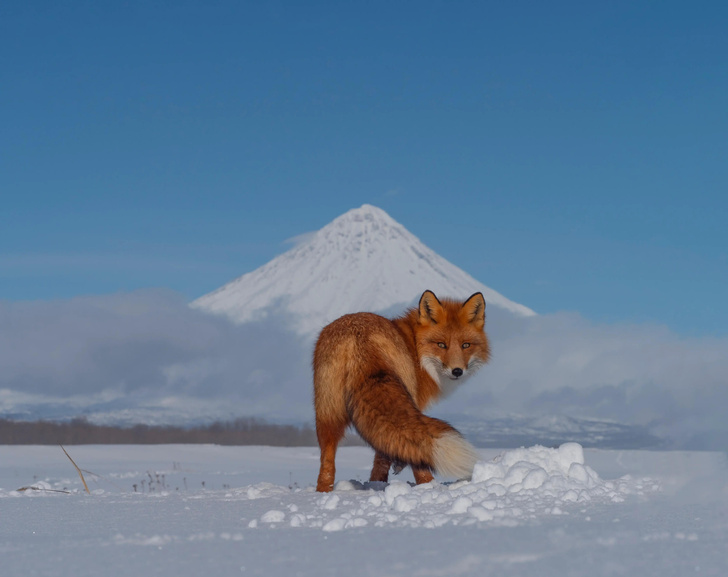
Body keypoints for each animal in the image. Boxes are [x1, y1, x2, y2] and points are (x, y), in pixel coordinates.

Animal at [312, 290, 490, 492]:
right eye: (441, 345)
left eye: (465, 345)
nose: (457, 371)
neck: (414, 347)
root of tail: (357, 337)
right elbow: (387, 455)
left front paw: (377, 482)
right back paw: (428, 485)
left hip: (326, 414)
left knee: (327, 461)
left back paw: (323, 491)